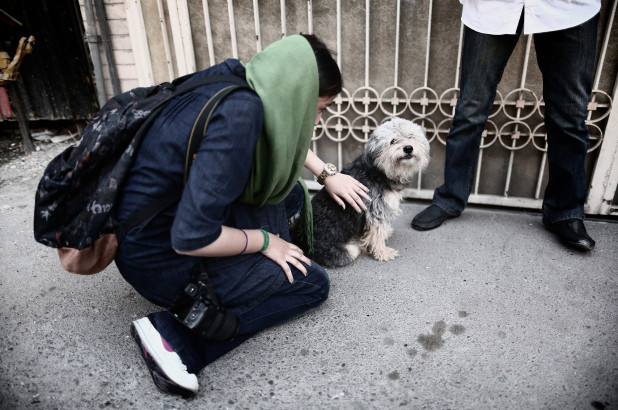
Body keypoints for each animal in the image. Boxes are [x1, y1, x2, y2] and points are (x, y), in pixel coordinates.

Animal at [306, 117, 426, 268]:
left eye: (411, 137)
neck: (381, 170)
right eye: (393, 141)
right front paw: (382, 252)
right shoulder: (376, 209)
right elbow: (378, 232)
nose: (408, 148)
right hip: (347, 251)